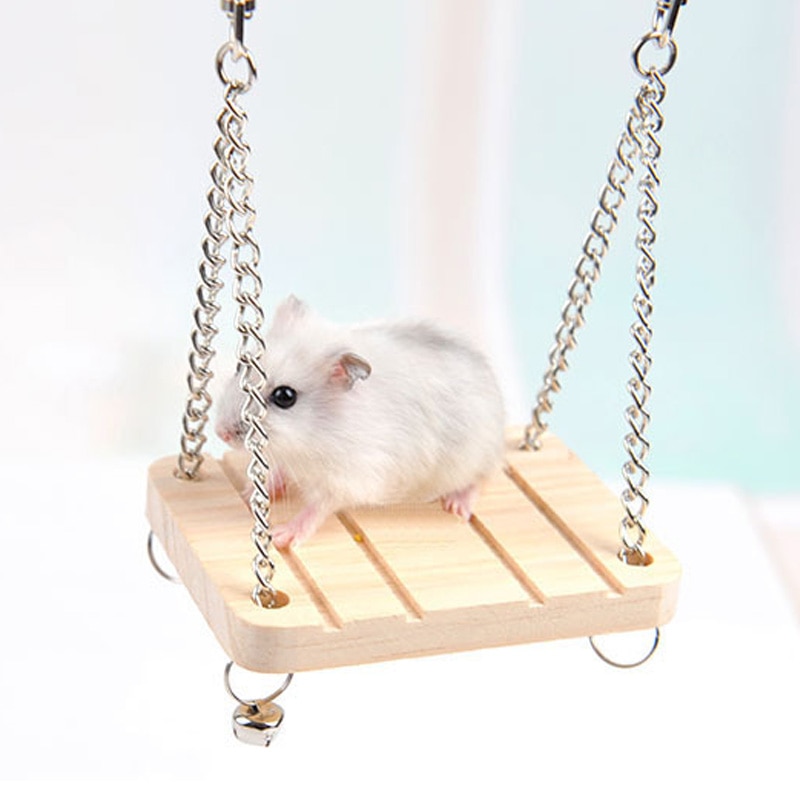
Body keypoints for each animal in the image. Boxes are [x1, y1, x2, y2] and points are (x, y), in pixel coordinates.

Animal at [215, 295, 506, 549]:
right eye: (241, 368)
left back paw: (456, 506)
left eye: (285, 397)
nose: (220, 434)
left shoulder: (349, 478)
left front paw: (282, 536)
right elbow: (281, 470)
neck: (313, 436)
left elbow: (317, 508)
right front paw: (249, 491)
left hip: (472, 455)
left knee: (480, 479)